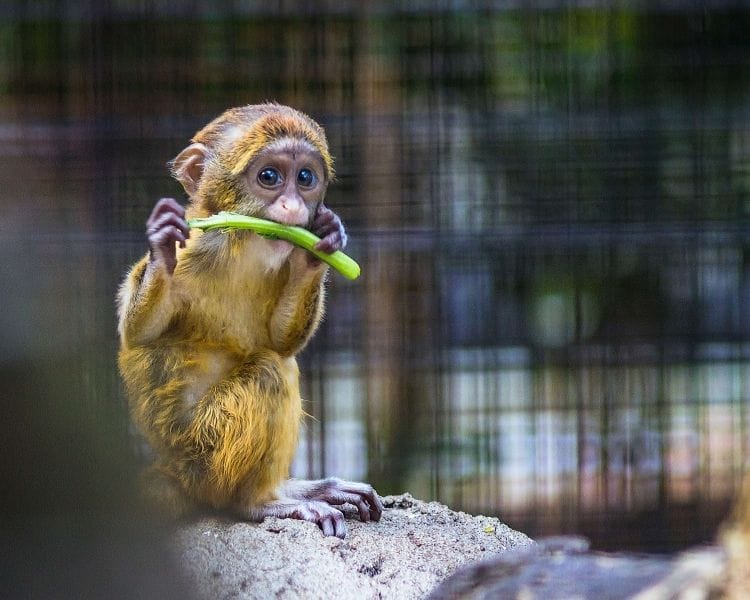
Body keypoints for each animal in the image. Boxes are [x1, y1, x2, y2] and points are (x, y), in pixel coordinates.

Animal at [117, 103, 382, 538]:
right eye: (269, 177)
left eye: (305, 178)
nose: (294, 207)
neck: (242, 245)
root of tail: (174, 471)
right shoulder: (197, 248)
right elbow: (139, 334)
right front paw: (161, 247)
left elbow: (280, 341)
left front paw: (319, 246)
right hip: (204, 454)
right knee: (270, 373)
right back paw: (256, 503)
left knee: (279, 362)